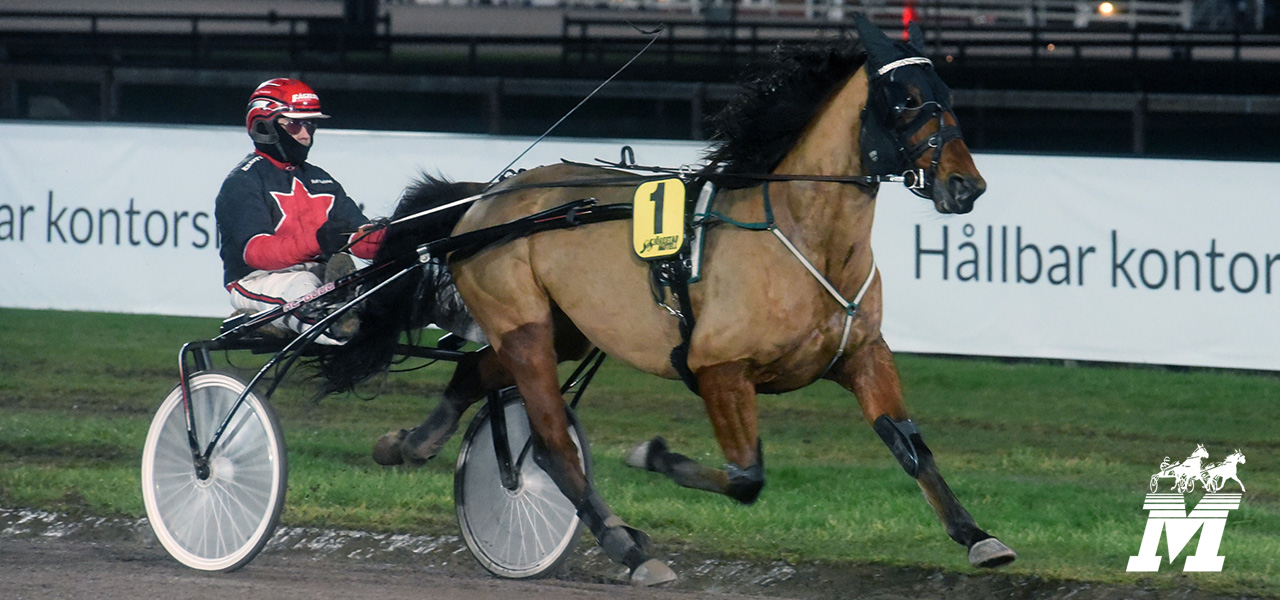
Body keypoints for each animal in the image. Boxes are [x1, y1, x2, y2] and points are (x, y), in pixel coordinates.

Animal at [325, 14, 1013, 585]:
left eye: (948, 95)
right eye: (906, 100)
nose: (967, 186)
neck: (804, 239)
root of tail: (483, 202)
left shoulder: (862, 355)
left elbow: (912, 447)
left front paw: (977, 536)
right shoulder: (718, 369)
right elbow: (746, 477)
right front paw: (650, 454)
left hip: (562, 329)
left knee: (474, 371)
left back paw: (409, 443)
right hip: (523, 327)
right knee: (550, 444)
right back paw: (627, 548)